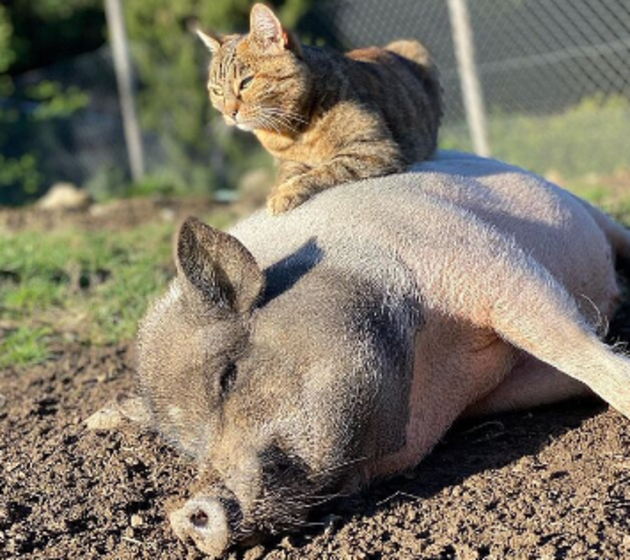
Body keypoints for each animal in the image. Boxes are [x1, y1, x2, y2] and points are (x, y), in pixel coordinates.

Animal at [133, 150, 630, 556]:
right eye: (189, 448)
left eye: (229, 375)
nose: (185, 516)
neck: (434, 366)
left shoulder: (479, 256)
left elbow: (567, 344)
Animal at [198, 3, 444, 214]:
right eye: (217, 91)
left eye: (246, 82)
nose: (229, 113)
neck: (293, 131)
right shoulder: (288, 161)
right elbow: (288, 173)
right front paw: (280, 189)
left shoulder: (375, 149)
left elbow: (329, 168)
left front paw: (285, 193)